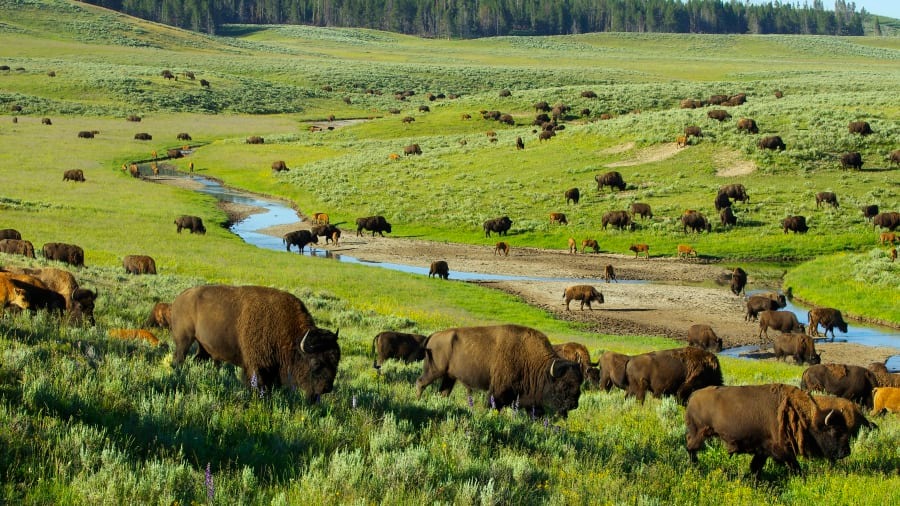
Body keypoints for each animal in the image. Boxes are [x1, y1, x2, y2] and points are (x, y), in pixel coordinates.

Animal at [171, 282, 340, 402]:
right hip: (184, 341)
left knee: (197, 359)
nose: (327, 388)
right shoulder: (257, 368)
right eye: (316, 362)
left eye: (336, 361)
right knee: (179, 359)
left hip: (203, 347)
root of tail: (180, 297)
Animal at [414, 324, 584, 416]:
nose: (573, 405)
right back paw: (417, 401)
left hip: (449, 377)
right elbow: (492, 405)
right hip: (434, 371)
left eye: (579, 385)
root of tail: (433, 336)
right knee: (420, 383)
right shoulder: (497, 392)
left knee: (443, 391)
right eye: (563, 385)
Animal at [688, 386, 852, 476]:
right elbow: (794, 466)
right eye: (835, 431)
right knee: (691, 449)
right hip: (698, 433)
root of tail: (693, 395)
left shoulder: (763, 451)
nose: (847, 452)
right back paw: (696, 467)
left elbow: (756, 467)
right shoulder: (781, 450)